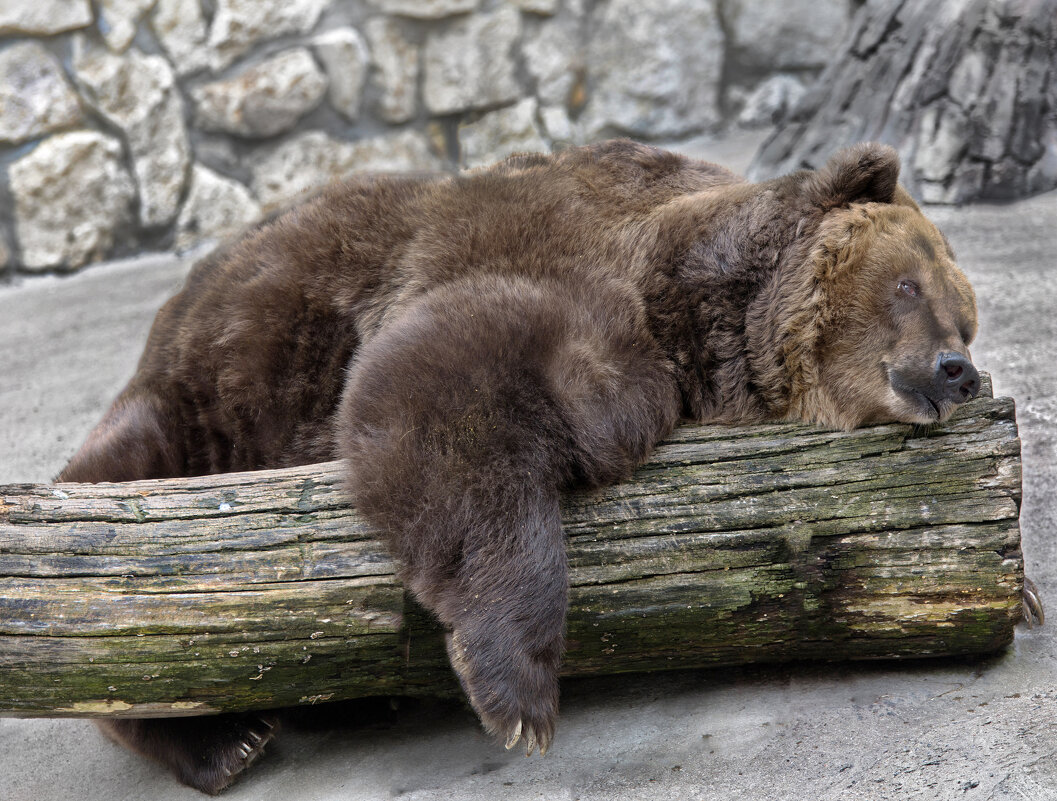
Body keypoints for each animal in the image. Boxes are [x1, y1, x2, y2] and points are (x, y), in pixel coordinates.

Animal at [57, 139, 980, 798]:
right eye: (909, 284)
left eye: (966, 318)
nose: (956, 371)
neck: (705, 318)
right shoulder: (560, 265)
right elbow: (439, 383)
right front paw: (520, 698)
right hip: (200, 403)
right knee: (117, 554)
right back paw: (226, 738)